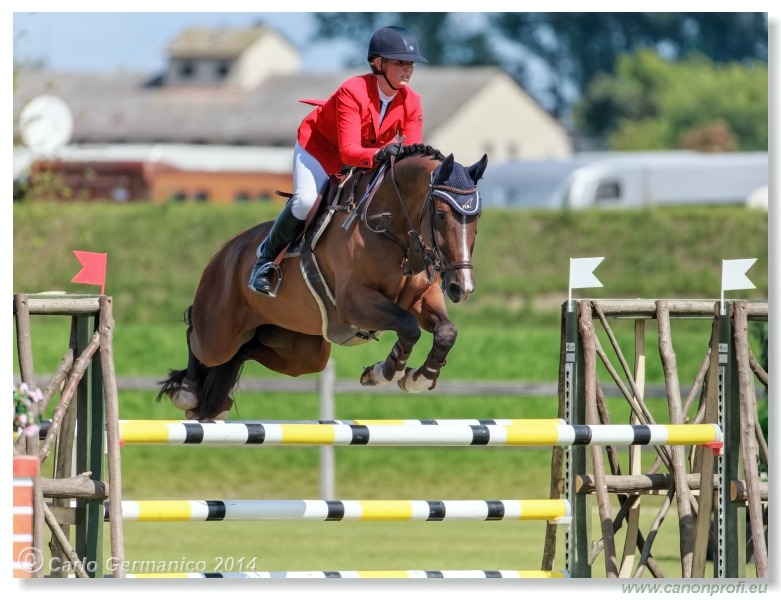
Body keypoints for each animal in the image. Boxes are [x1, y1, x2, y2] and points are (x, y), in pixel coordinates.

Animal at [157, 144, 488, 418]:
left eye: (476, 217)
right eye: (442, 215)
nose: (462, 287)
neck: (391, 227)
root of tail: (225, 252)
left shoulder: (421, 298)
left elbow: (446, 331)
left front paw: (419, 378)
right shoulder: (354, 301)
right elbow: (407, 326)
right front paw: (385, 371)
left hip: (301, 352)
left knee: (248, 351)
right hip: (220, 334)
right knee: (197, 337)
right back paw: (186, 392)